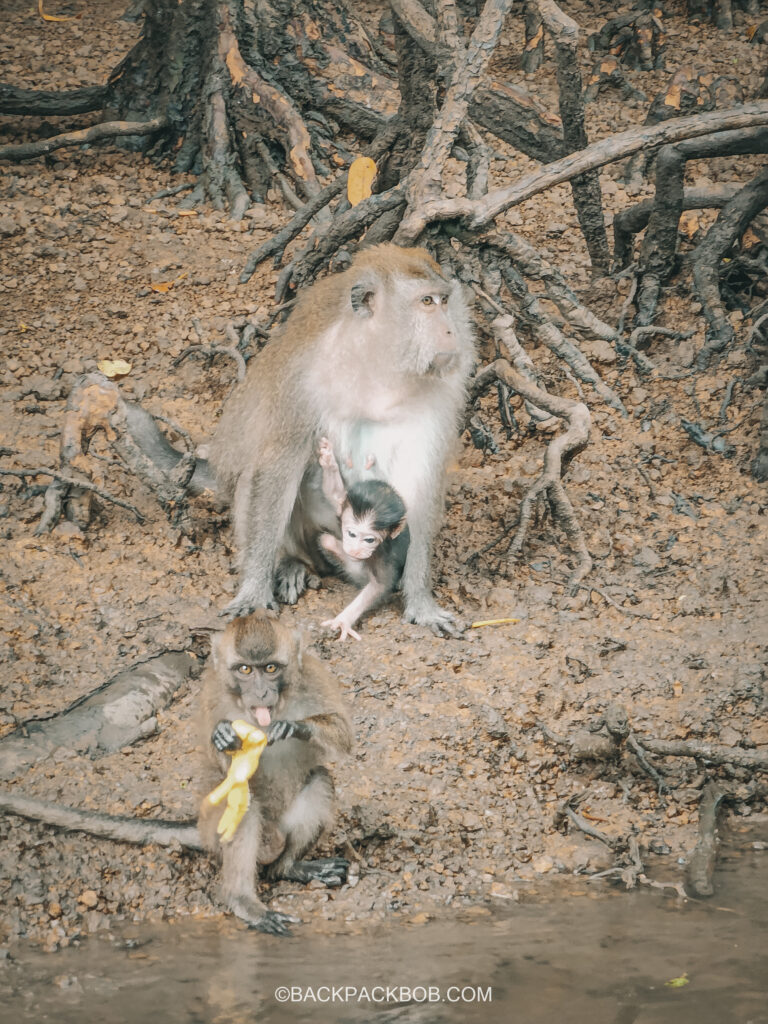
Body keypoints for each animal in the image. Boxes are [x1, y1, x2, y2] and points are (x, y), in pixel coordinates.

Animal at [198, 606, 354, 937]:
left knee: (320, 780)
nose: (260, 693)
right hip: (216, 835)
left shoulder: (313, 675)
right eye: (245, 670)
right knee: (242, 804)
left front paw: (296, 727)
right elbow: (220, 769)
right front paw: (222, 739)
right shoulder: (212, 694)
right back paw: (244, 901)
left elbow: (343, 733)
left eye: (270, 668)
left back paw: (289, 867)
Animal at [210, 243, 475, 634]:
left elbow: (419, 486)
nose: (450, 331)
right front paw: (254, 590)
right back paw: (290, 563)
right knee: (255, 479)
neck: (377, 365)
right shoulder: (303, 380)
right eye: (426, 301)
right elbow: (278, 465)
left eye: (445, 301)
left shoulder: (440, 396)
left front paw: (420, 601)